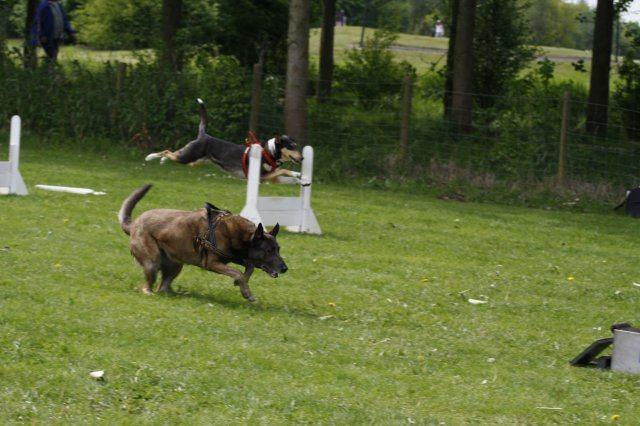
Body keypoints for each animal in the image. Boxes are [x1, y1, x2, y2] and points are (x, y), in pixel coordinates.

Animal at [119, 185, 288, 302]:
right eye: (268, 251)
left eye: (278, 249)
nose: (285, 268)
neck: (239, 235)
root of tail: (133, 224)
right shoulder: (213, 263)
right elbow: (238, 272)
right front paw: (246, 291)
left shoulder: (236, 258)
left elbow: (249, 267)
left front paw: (241, 285)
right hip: (152, 262)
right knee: (147, 285)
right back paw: (150, 292)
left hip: (176, 265)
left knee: (163, 286)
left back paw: (175, 294)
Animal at [146, 99, 304, 182]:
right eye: (291, 147)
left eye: (296, 146)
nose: (302, 158)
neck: (268, 152)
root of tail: (203, 134)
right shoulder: (261, 176)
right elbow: (283, 170)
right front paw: (297, 174)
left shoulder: (268, 178)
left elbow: (283, 173)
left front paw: (301, 179)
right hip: (187, 156)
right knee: (167, 151)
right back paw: (150, 157)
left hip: (193, 161)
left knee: (172, 153)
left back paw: (161, 160)